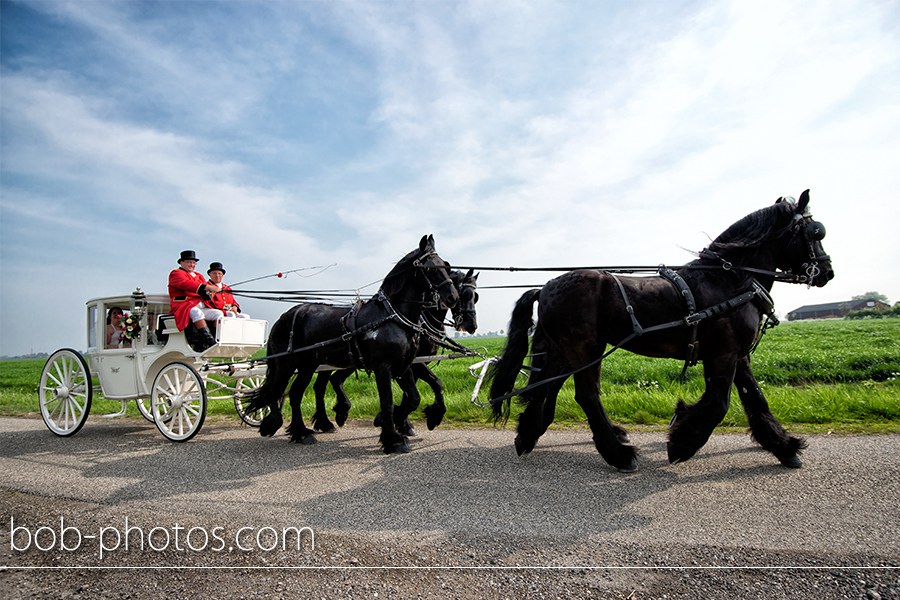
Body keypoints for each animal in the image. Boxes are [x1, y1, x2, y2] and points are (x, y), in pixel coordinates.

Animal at [244, 236, 460, 454]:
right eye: (430, 267)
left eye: (446, 266)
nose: (452, 297)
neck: (392, 316)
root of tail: (284, 316)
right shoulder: (384, 367)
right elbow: (388, 402)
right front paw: (392, 438)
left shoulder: (404, 364)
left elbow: (415, 397)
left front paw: (416, 420)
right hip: (287, 364)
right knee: (281, 389)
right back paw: (286, 426)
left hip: (308, 365)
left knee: (296, 393)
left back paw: (302, 432)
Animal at [314, 270, 478, 434]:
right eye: (464, 295)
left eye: (475, 297)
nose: (472, 325)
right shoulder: (414, 363)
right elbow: (428, 385)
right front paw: (402, 422)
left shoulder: (410, 363)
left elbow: (420, 388)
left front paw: (402, 420)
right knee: (321, 386)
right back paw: (325, 422)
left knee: (333, 380)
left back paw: (337, 415)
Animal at [488, 190, 832, 472]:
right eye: (816, 231)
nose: (827, 272)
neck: (729, 280)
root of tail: (545, 286)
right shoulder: (723, 353)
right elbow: (719, 404)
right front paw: (681, 442)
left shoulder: (738, 355)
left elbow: (756, 398)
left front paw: (784, 447)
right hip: (584, 348)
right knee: (586, 395)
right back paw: (619, 454)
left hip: (565, 350)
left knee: (546, 385)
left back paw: (528, 435)